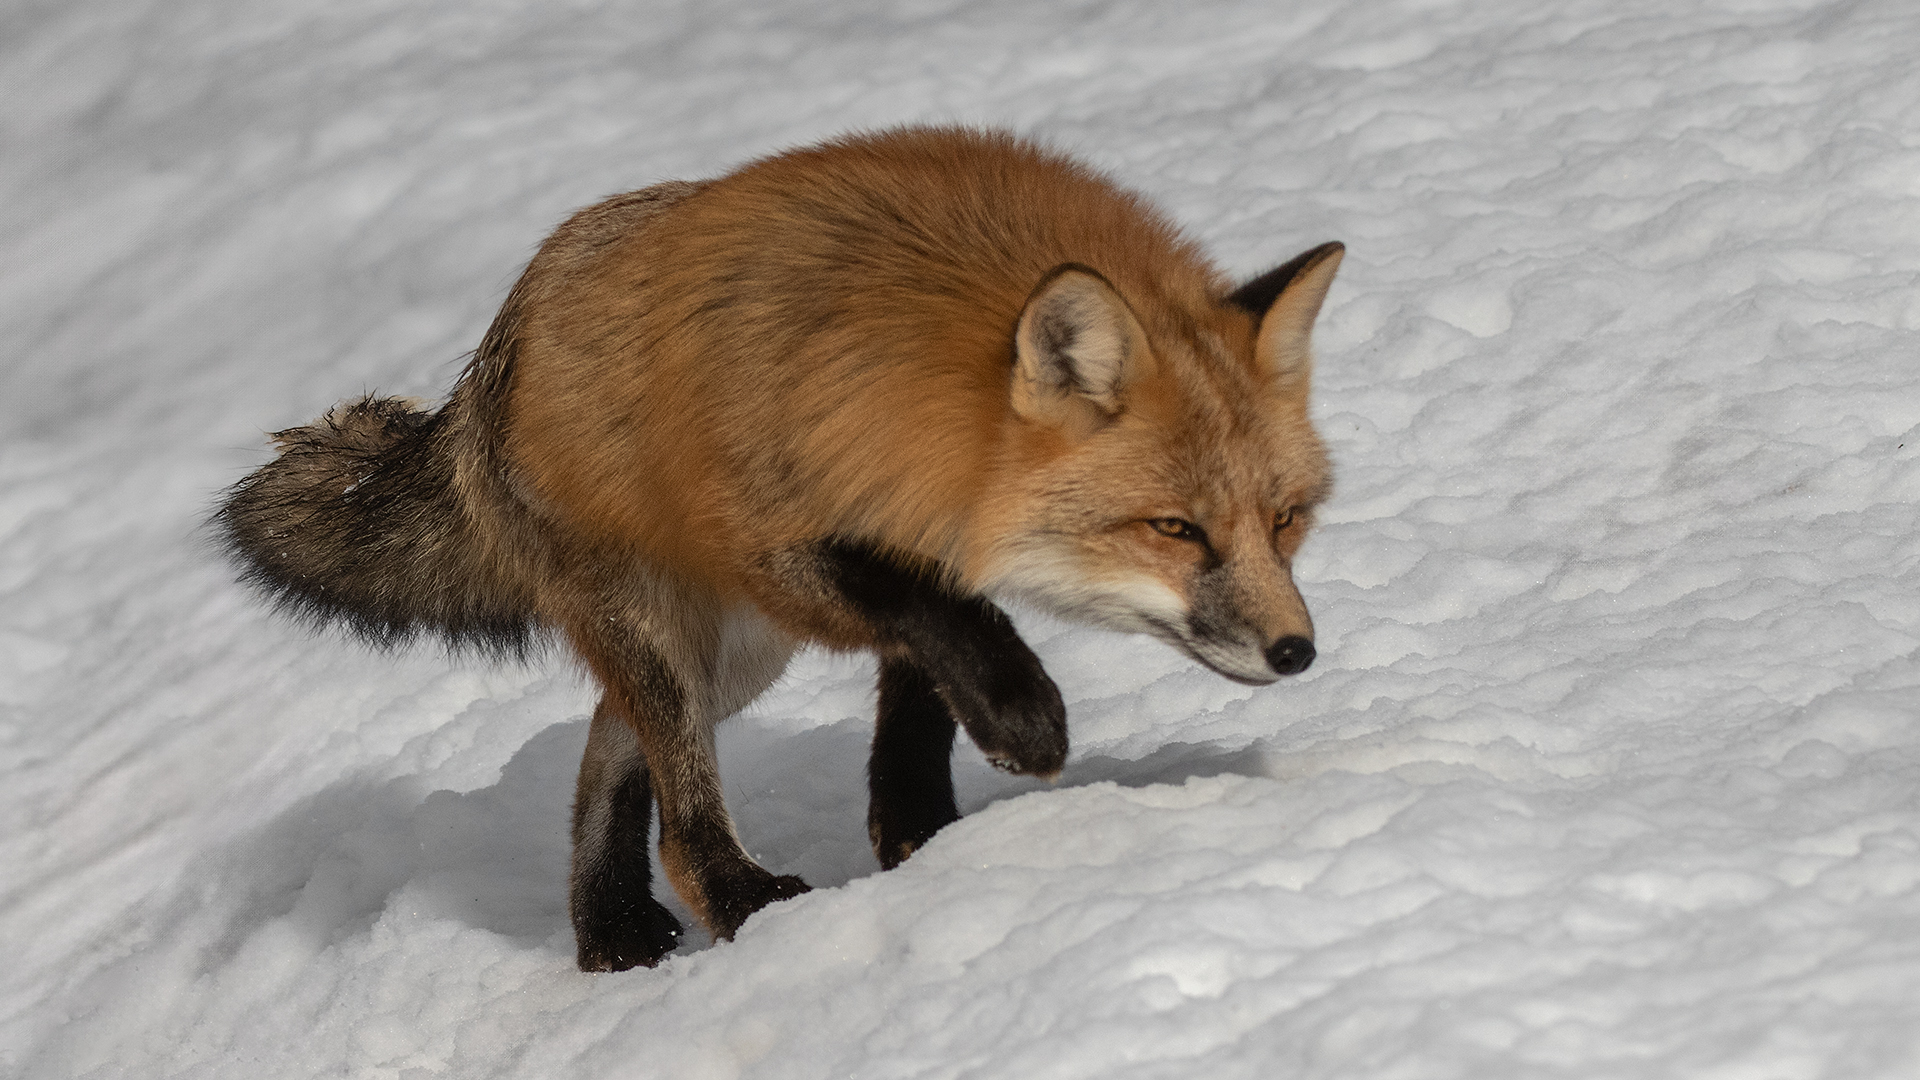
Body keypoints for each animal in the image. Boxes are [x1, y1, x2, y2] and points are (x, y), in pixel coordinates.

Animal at [214, 125, 1336, 968]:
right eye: (1174, 528)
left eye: (1286, 519)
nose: (1298, 653)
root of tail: (492, 357)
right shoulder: (776, 536)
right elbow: (940, 617)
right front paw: (1021, 720)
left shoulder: (913, 529)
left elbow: (926, 670)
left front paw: (918, 823)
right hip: (675, 634)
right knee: (680, 817)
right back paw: (744, 907)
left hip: (734, 660)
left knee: (604, 754)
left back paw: (609, 931)